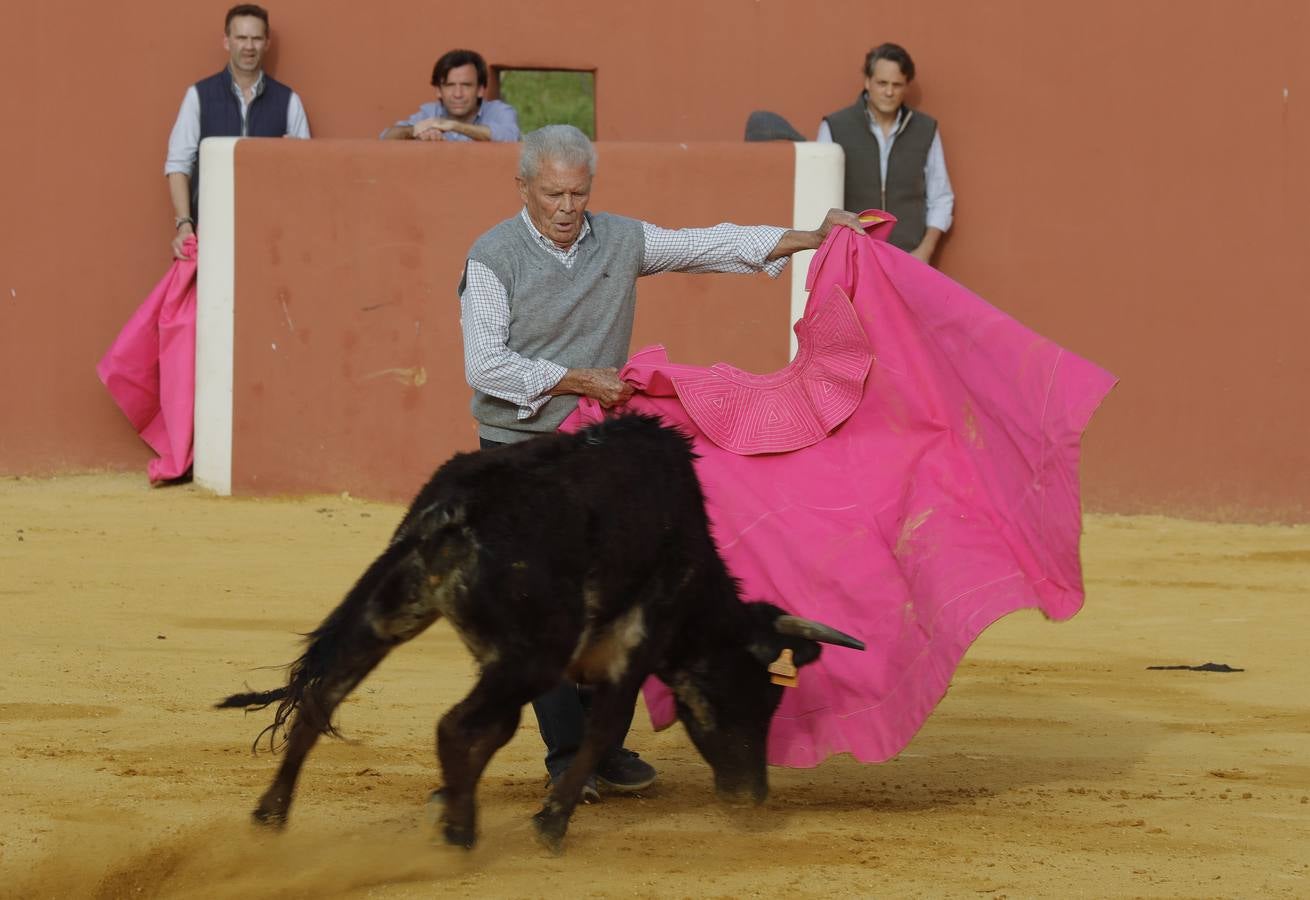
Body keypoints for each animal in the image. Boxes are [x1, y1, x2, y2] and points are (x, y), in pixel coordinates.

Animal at [218, 416, 864, 854]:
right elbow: (598, 730)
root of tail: (453, 509)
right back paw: (461, 834)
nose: (752, 796)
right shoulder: (630, 648)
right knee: (453, 724)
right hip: (533, 654)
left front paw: (451, 799)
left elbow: (504, 731)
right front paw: (548, 823)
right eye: (756, 695)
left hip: (392, 613)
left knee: (321, 698)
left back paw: (271, 816)